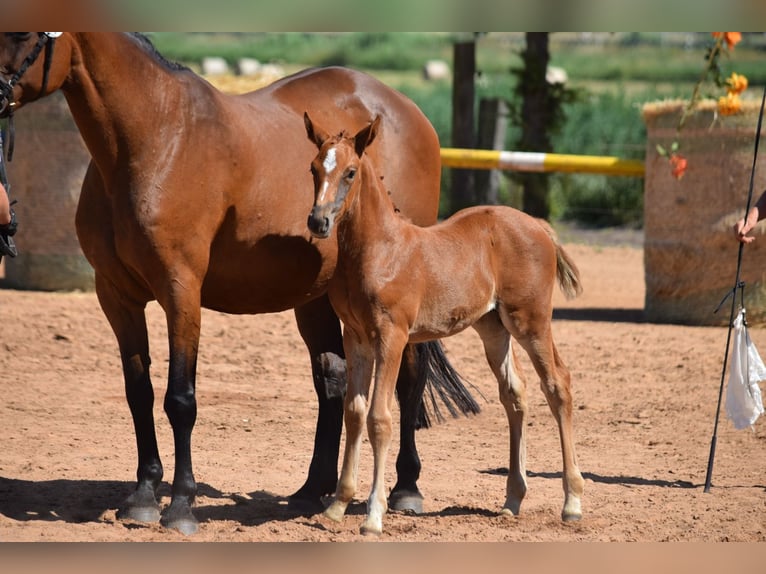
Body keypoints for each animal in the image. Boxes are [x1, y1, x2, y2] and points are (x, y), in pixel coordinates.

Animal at [0, 32, 479, 535]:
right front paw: (143, 495)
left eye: (24, 35)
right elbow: (139, 393)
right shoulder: (116, 296)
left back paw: (406, 489)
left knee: (409, 379)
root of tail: (407, 111)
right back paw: (314, 491)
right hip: (316, 301)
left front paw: (181, 506)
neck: (157, 140)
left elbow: (180, 399)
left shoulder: (181, 292)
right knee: (333, 382)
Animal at [304, 112, 585, 535]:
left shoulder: (392, 336)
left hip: (530, 321)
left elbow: (380, 418)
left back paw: (572, 503)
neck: (379, 250)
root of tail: (538, 226)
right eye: (314, 168)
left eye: (350, 172)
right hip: (494, 328)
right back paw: (513, 499)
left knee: (558, 385)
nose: (318, 221)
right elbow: (354, 411)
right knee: (514, 394)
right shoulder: (355, 338)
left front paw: (373, 515)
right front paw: (337, 505)